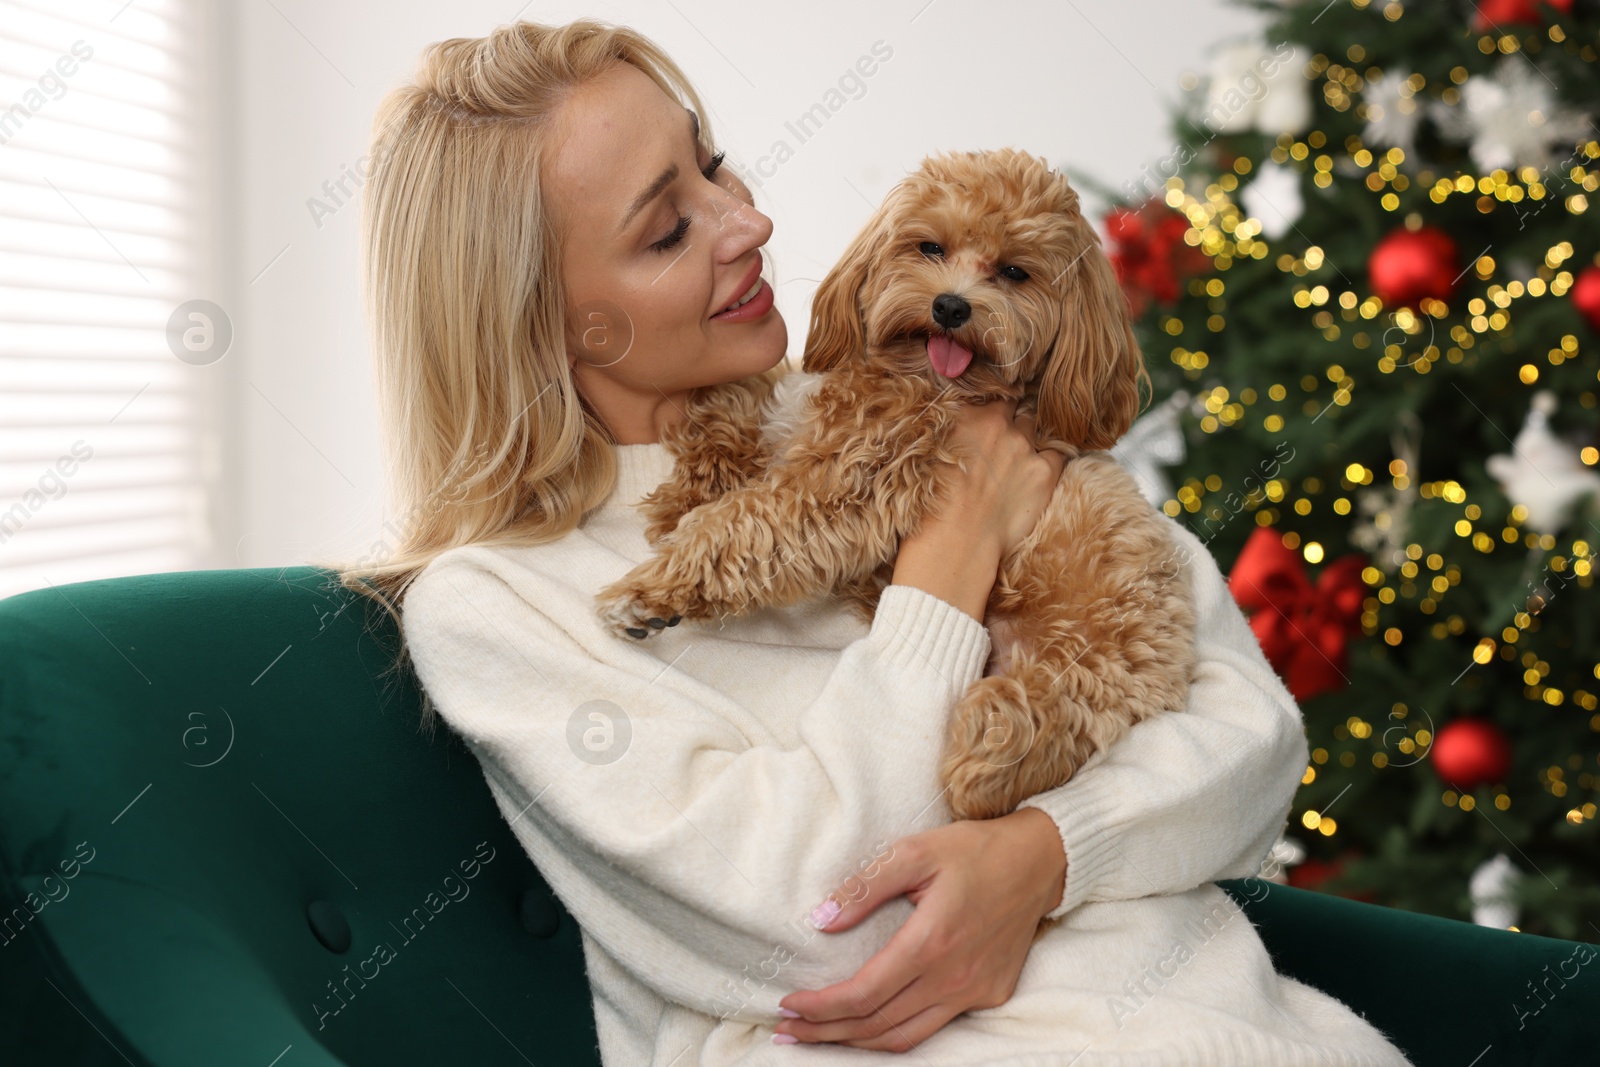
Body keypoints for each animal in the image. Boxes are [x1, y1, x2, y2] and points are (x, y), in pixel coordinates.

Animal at [595, 150, 1196, 831]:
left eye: (1014, 272)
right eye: (930, 247)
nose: (952, 307)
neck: (924, 383)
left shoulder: (851, 483)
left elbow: (745, 522)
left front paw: (647, 591)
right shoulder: (795, 414)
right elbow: (737, 409)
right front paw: (689, 482)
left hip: (1101, 645)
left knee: (1062, 711)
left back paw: (989, 758)